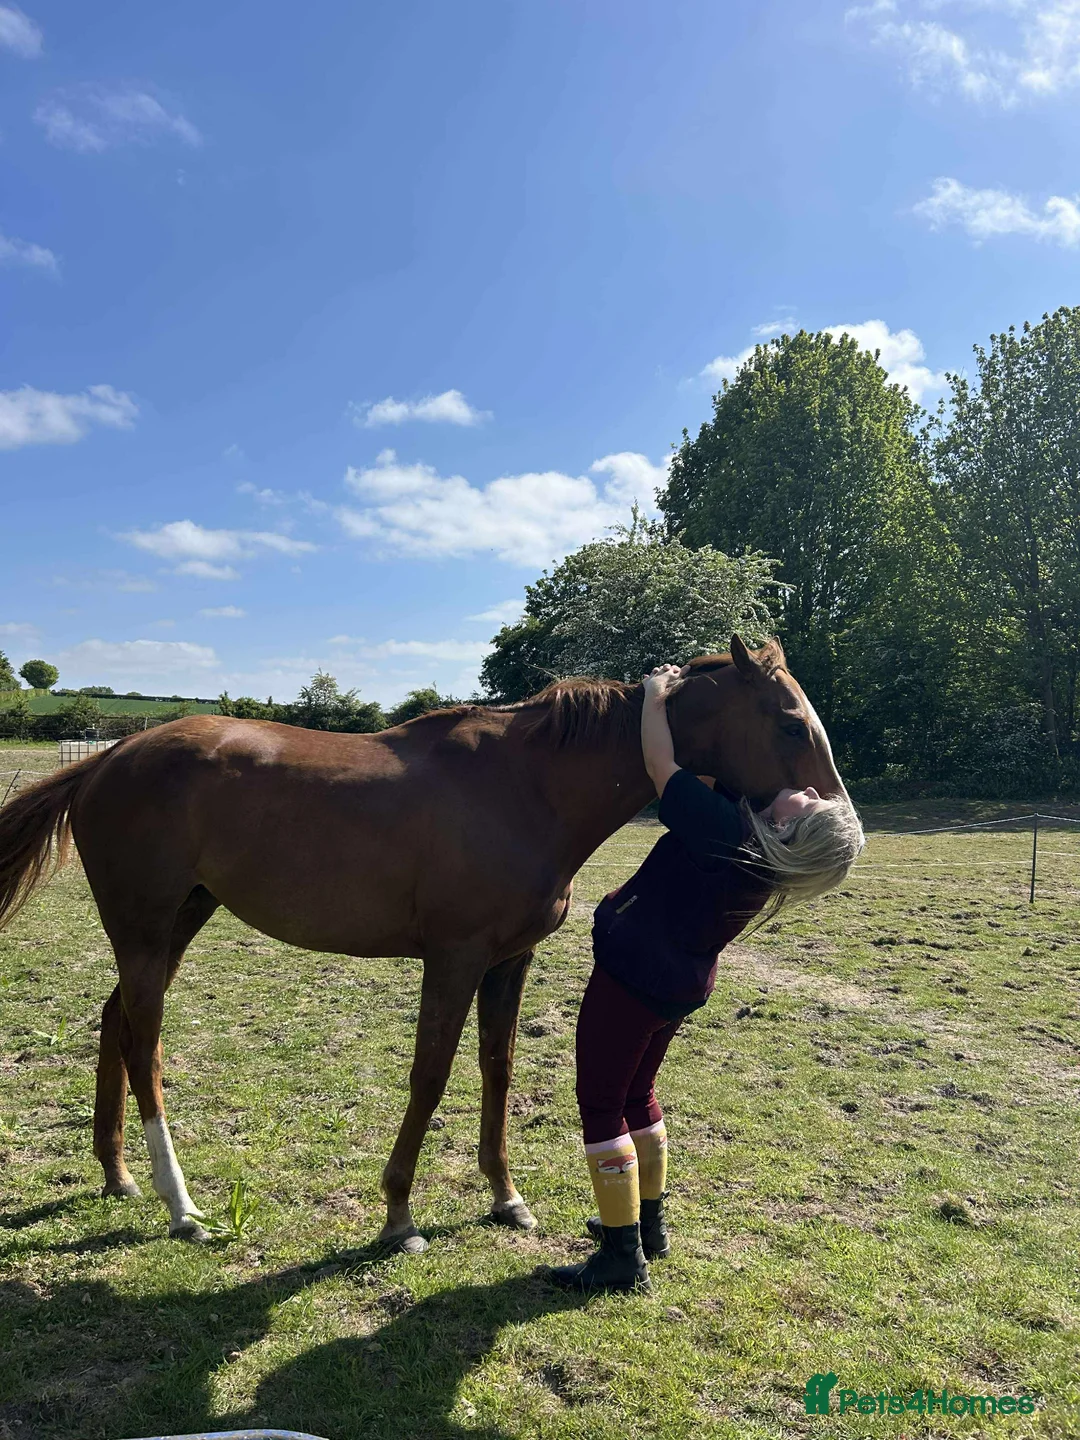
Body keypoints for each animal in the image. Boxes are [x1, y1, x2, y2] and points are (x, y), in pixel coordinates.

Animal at [0, 637, 848, 1251]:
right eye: (788, 722)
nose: (836, 812)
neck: (525, 787)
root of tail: (108, 759)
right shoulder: (455, 957)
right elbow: (430, 1077)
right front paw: (399, 1215)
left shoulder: (508, 961)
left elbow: (498, 1070)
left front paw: (506, 1197)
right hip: (148, 930)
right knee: (144, 1044)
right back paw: (180, 1206)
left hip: (177, 921)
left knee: (115, 1021)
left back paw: (118, 1175)